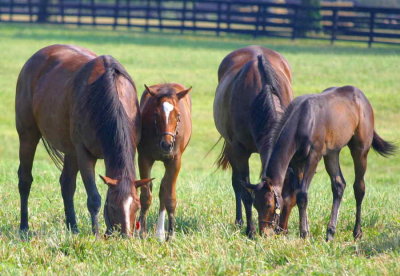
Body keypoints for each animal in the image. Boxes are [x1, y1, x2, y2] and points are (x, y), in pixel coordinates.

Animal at [14, 44, 151, 236]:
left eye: (137, 206)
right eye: (113, 206)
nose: (124, 235)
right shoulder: (84, 153)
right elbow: (94, 198)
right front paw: (96, 233)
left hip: (70, 150)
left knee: (66, 184)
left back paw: (73, 227)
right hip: (28, 136)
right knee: (25, 180)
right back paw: (24, 226)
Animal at [138, 83, 192, 240]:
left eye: (178, 116)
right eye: (156, 115)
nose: (167, 145)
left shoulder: (175, 161)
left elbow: (169, 196)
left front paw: (171, 234)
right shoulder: (144, 158)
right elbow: (146, 194)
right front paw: (141, 233)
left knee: (164, 188)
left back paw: (160, 233)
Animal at [212, 45, 294, 237]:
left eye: (272, 206)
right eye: (259, 205)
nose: (266, 233)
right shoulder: (239, 151)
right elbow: (245, 193)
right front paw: (250, 230)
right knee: (236, 184)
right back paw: (239, 220)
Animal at [245, 85, 396, 240]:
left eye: (269, 205)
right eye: (255, 205)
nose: (264, 233)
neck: (302, 120)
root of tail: (361, 97)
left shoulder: (314, 156)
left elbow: (302, 194)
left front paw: (304, 234)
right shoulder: (297, 162)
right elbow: (299, 194)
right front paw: (305, 231)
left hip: (360, 150)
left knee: (359, 187)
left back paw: (357, 232)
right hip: (331, 153)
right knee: (339, 185)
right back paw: (330, 233)